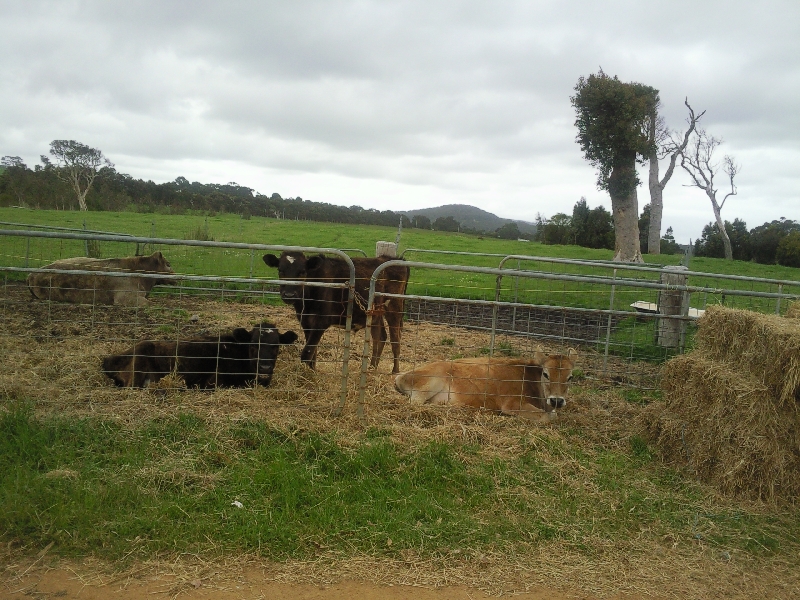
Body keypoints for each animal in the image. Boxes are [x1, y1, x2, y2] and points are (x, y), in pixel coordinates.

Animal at [264, 251, 410, 372]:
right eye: (280, 271)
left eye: (302, 272)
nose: (289, 295)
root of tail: (396, 259)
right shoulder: (306, 321)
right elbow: (312, 351)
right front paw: (312, 371)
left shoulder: (322, 321)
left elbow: (307, 352)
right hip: (375, 314)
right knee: (379, 337)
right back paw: (372, 368)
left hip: (394, 308)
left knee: (395, 340)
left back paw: (395, 372)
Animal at [396, 346, 580, 422]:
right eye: (545, 374)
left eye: (570, 377)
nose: (557, 400)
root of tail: (401, 375)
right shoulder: (512, 404)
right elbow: (547, 417)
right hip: (431, 382)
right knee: (415, 403)